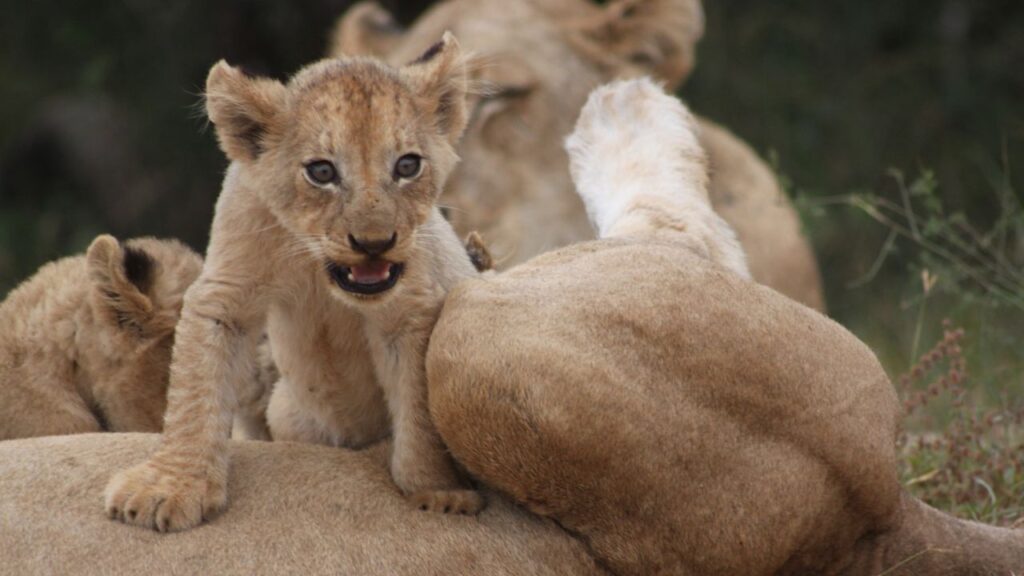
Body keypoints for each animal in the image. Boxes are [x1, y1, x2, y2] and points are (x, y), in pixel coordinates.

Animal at [104, 33, 485, 532]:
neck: (317, 267)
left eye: (407, 166)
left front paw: (439, 492)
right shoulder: (225, 291)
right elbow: (195, 393)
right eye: (322, 172)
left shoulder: (411, 306)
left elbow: (418, 410)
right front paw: (171, 486)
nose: (374, 243)